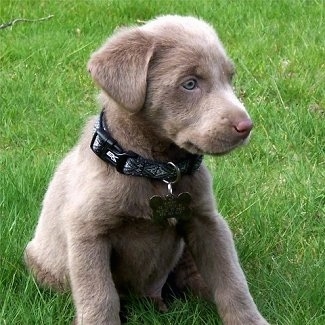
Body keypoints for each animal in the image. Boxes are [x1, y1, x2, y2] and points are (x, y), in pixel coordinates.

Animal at [24, 14, 268, 324]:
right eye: (190, 84)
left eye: (229, 78)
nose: (246, 126)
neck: (157, 169)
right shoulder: (87, 233)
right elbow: (100, 295)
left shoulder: (207, 221)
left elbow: (232, 280)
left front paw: (250, 319)